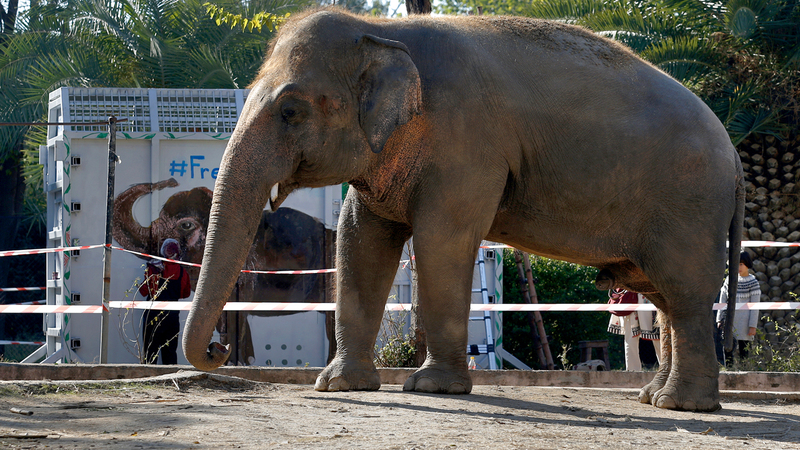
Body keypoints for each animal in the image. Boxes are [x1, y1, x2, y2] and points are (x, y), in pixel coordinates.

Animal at [183, 8, 744, 414]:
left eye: (291, 111)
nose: (219, 351)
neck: (382, 31)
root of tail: (735, 154)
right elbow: (360, 240)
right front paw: (339, 386)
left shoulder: (467, 142)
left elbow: (442, 239)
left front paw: (432, 389)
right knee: (664, 297)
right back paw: (653, 398)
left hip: (690, 204)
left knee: (684, 295)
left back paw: (682, 406)